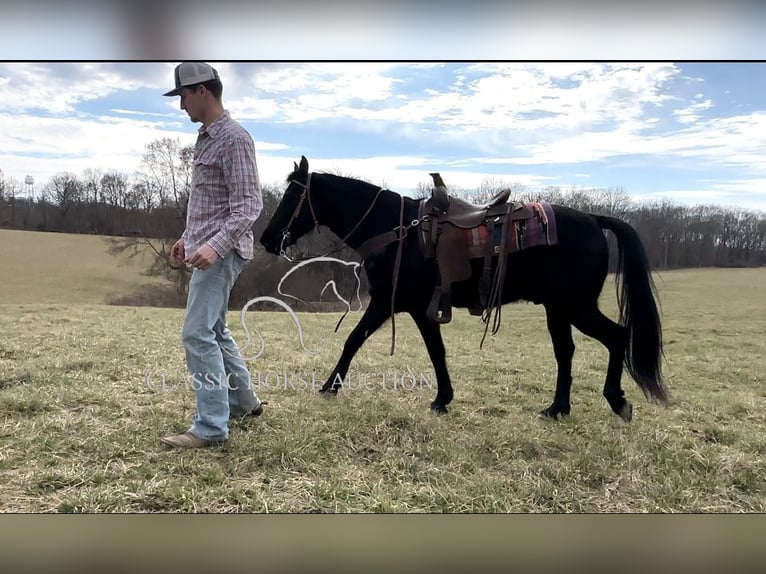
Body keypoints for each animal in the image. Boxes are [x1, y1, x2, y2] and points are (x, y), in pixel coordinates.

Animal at [260, 158, 668, 424]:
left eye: (291, 197)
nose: (266, 238)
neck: (396, 230)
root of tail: (595, 220)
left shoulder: (400, 304)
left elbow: (378, 343)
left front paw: (332, 386)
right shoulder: (401, 305)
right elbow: (391, 345)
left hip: (576, 306)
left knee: (616, 337)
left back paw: (616, 401)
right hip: (558, 309)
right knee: (566, 352)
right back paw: (558, 409)